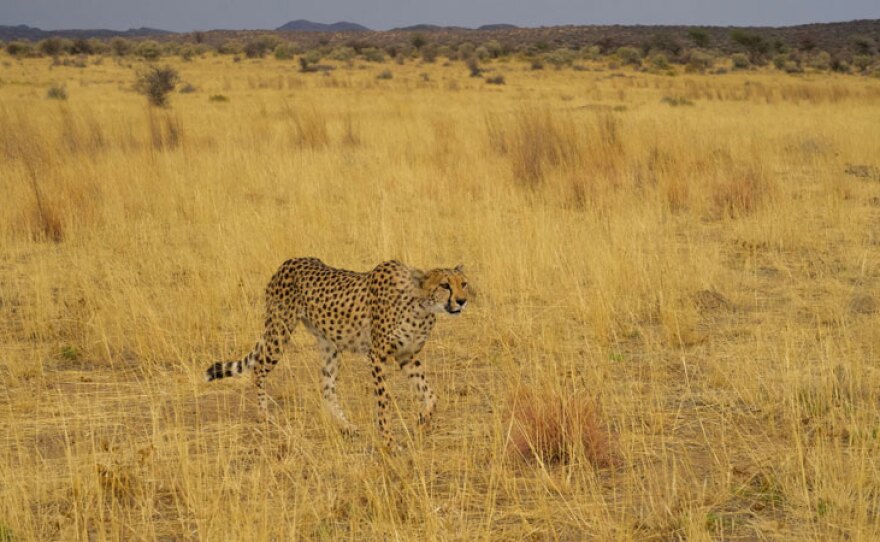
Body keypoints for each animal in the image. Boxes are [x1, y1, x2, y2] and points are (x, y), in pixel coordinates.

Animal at [205, 257, 469, 447]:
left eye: (463, 283)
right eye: (445, 285)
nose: (462, 300)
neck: (421, 307)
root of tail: (288, 262)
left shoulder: (407, 356)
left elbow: (431, 394)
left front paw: (422, 422)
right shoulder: (377, 355)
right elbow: (383, 401)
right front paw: (388, 440)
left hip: (330, 345)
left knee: (327, 388)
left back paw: (346, 426)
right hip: (280, 331)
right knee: (259, 368)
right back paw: (263, 414)